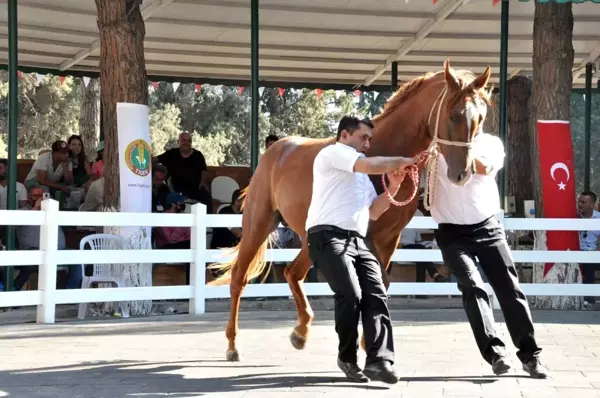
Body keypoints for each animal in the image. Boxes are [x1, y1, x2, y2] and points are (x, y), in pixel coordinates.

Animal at [211, 60, 492, 362]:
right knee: (239, 278)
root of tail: (275, 150)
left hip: (310, 238)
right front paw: (370, 344)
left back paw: (300, 333)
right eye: (453, 115)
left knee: (292, 273)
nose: (463, 174)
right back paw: (233, 345)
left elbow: (381, 283)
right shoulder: (367, 236)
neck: (383, 147)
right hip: (259, 224)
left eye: (480, 119)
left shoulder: (389, 239)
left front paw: (368, 343)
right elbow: (372, 283)